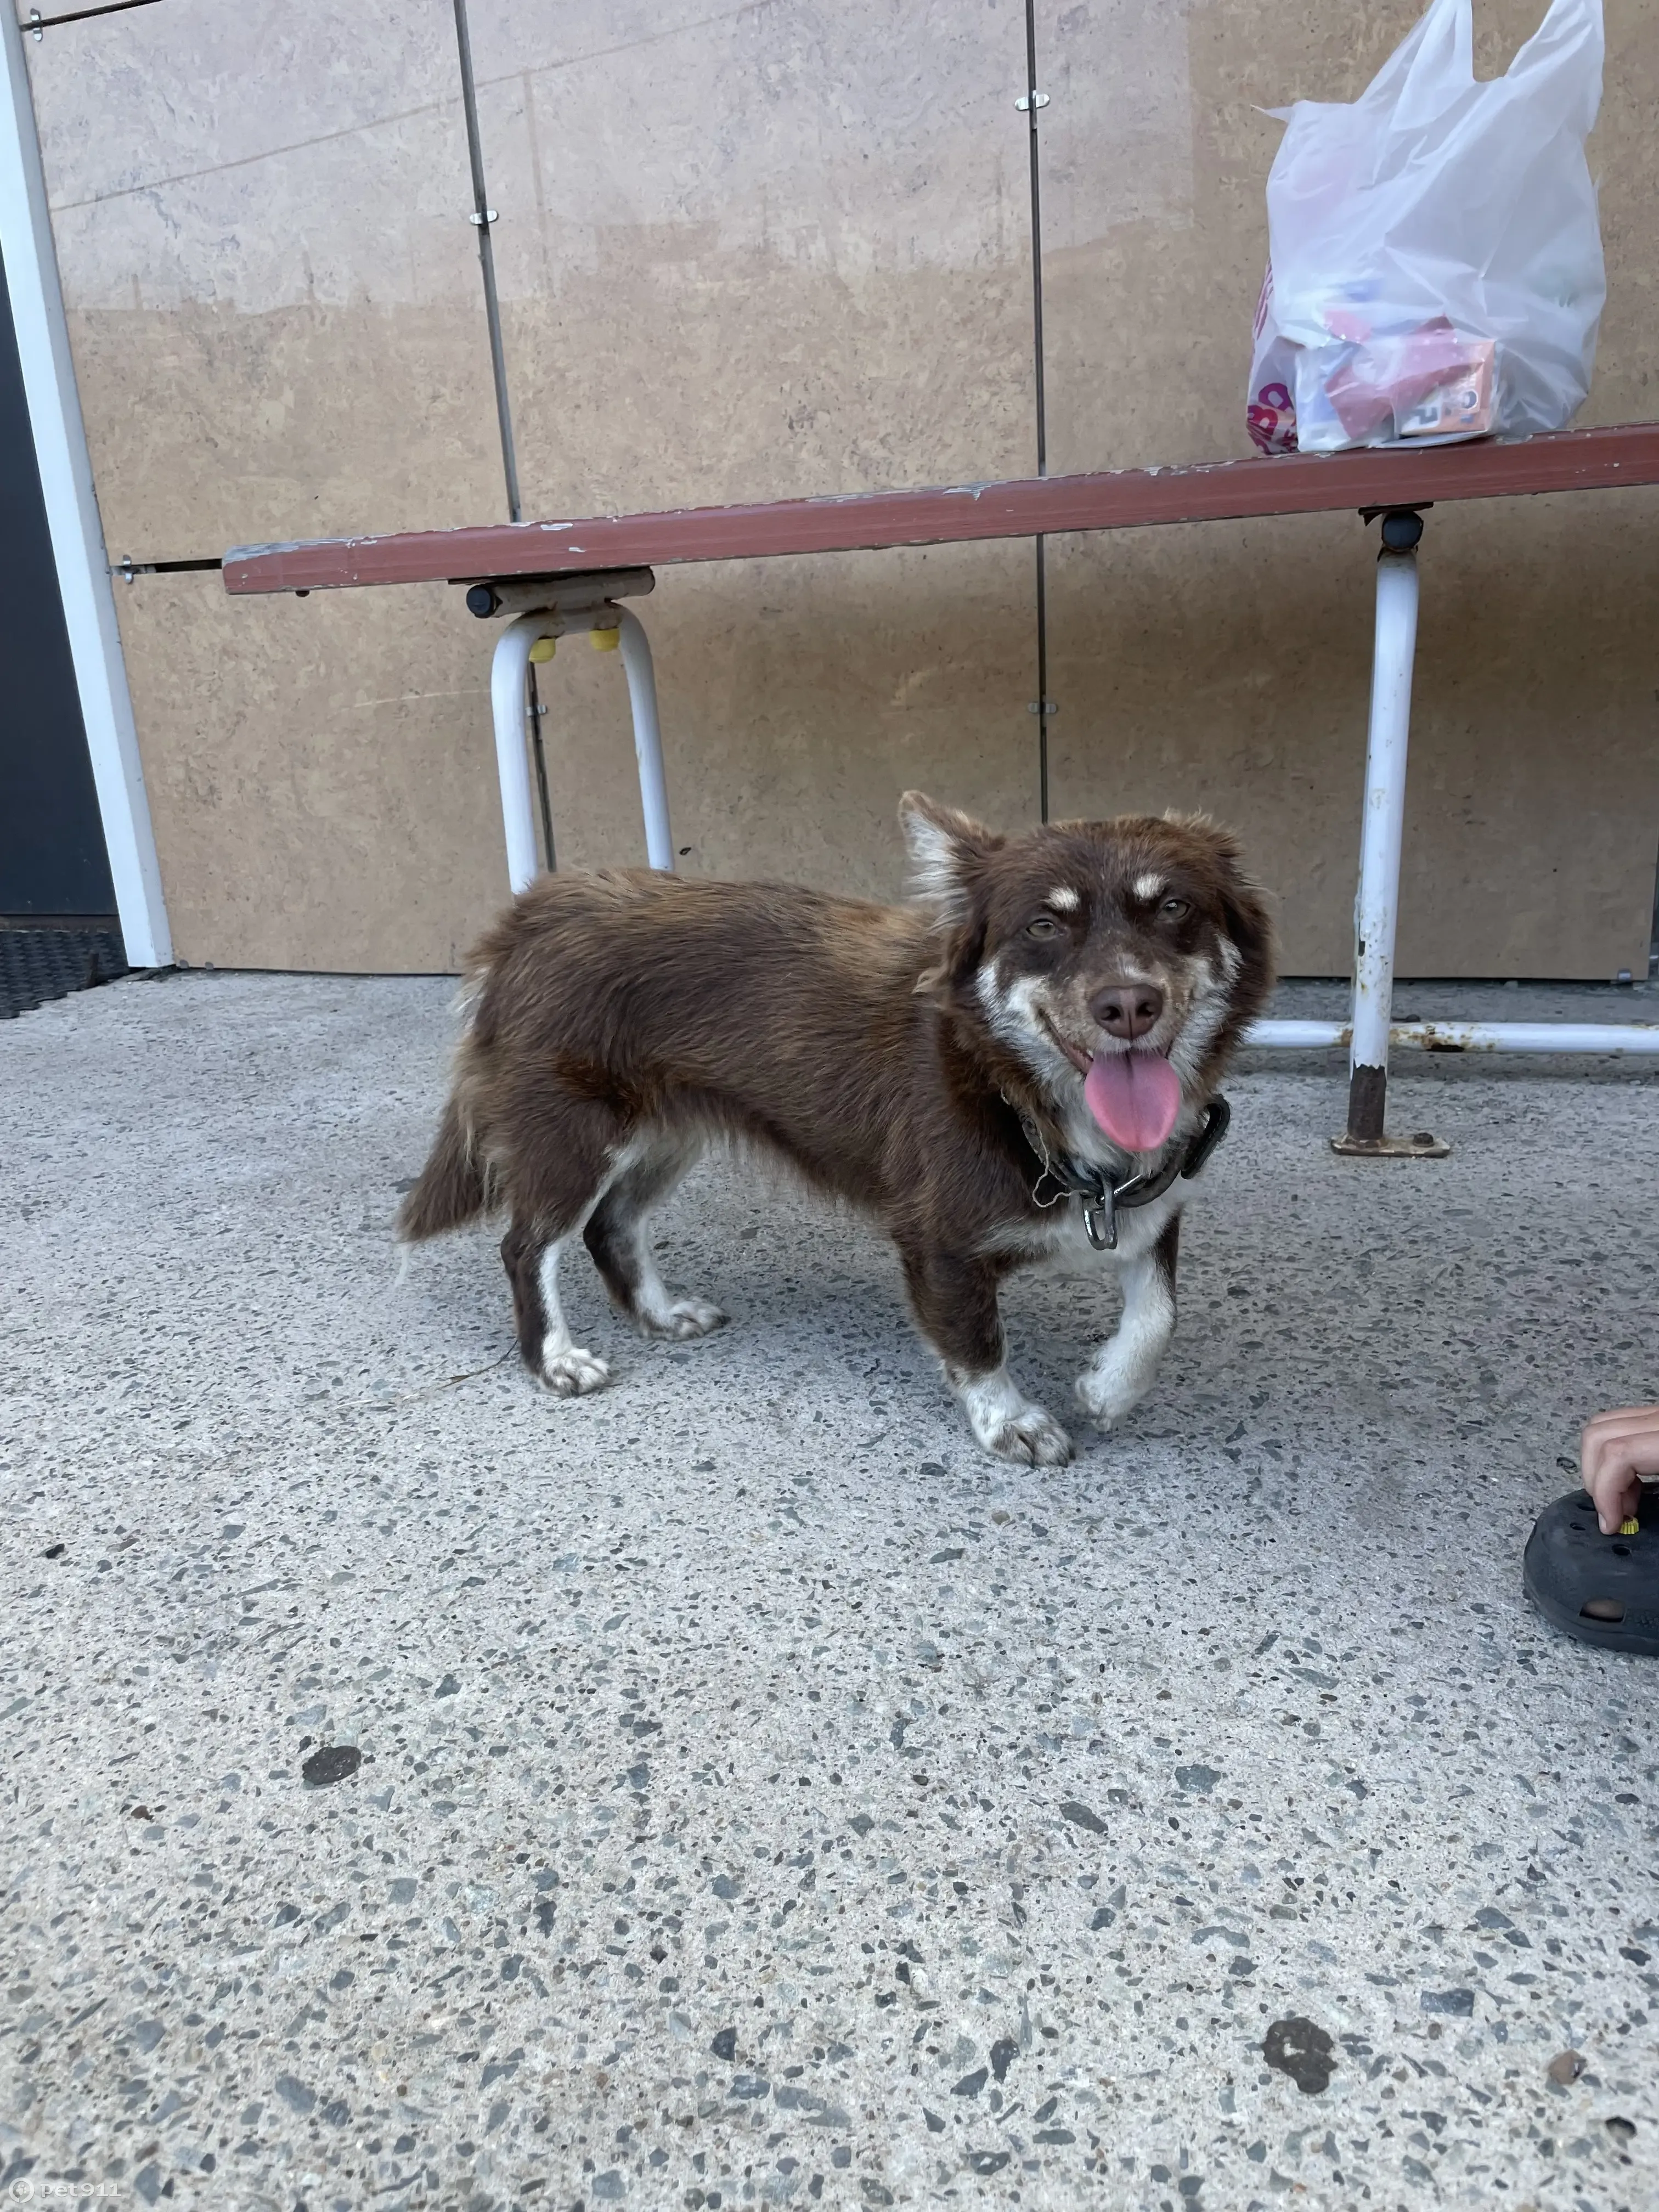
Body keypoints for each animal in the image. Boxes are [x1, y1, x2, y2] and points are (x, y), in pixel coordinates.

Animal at [400, 800, 1274, 1469]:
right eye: (1043, 926)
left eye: (1174, 908)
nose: (1128, 1005)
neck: (1017, 1096)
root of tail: (534, 909)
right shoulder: (937, 1245)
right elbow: (978, 1342)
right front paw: (1013, 1419)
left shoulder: (1153, 1208)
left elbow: (1159, 1315)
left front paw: (1108, 1387)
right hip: (575, 1139)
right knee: (528, 1245)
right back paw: (553, 1358)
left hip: (666, 1135)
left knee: (610, 1227)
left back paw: (659, 1312)